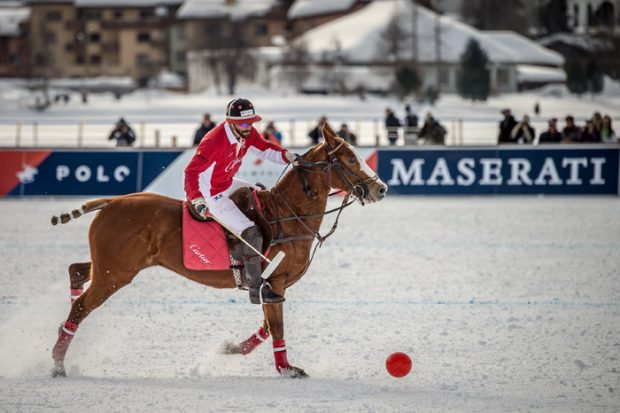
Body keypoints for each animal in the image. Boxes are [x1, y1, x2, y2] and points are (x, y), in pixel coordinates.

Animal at [49, 124, 388, 376]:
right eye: (349, 160)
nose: (380, 188)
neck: (290, 213)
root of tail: (112, 201)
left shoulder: (271, 286)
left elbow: (267, 325)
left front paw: (230, 349)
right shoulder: (275, 282)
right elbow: (276, 326)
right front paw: (287, 368)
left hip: (113, 265)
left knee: (76, 270)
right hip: (116, 272)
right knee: (81, 308)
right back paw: (58, 362)